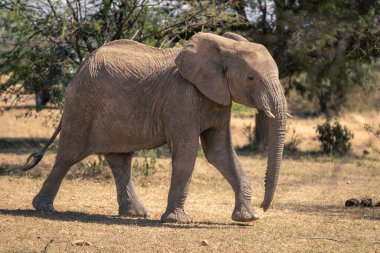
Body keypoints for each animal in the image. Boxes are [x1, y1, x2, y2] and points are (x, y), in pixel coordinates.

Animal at [21, 31, 288, 223]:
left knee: (119, 159)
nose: (265, 207)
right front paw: (178, 221)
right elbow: (187, 153)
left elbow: (220, 153)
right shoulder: (181, 98)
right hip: (81, 105)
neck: (223, 46)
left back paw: (136, 214)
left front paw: (248, 218)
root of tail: (80, 67)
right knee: (70, 154)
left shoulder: (219, 99)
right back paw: (43, 208)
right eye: (251, 78)